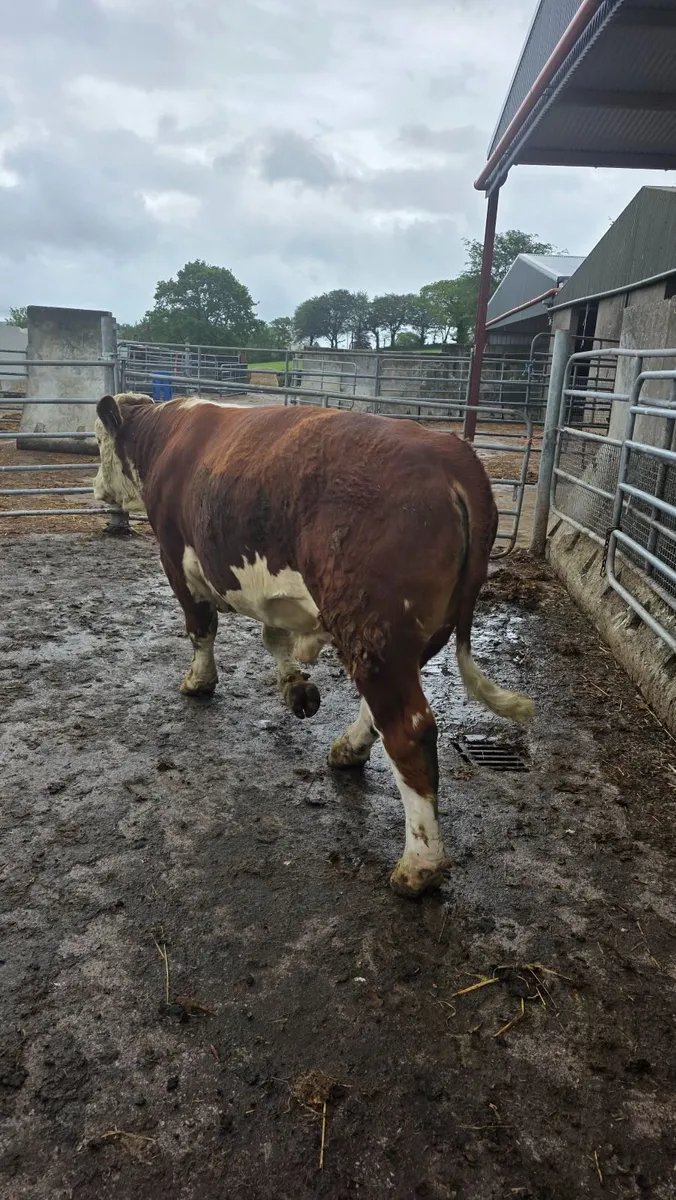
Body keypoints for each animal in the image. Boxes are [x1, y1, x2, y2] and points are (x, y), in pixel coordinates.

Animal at [93, 392, 534, 898]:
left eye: (98, 440)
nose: (97, 489)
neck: (166, 435)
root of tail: (453, 454)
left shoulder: (175, 558)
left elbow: (200, 628)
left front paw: (198, 681)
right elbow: (274, 635)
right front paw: (294, 685)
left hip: (373, 623)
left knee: (408, 730)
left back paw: (419, 865)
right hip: (403, 635)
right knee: (382, 708)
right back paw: (348, 749)